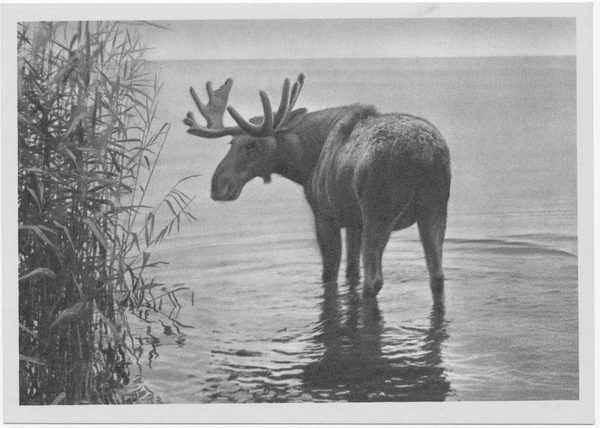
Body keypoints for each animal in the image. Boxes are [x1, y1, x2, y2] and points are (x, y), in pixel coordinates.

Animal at [183, 73, 450, 298]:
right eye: (231, 143)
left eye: (252, 145)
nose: (218, 186)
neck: (303, 164)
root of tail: (423, 154)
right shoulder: (354, 222)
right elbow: (351, 271)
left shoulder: (325, 216)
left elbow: (329, 275)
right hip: (434, 210)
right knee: (437, 275)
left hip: (379, 214)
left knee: (374, 280)